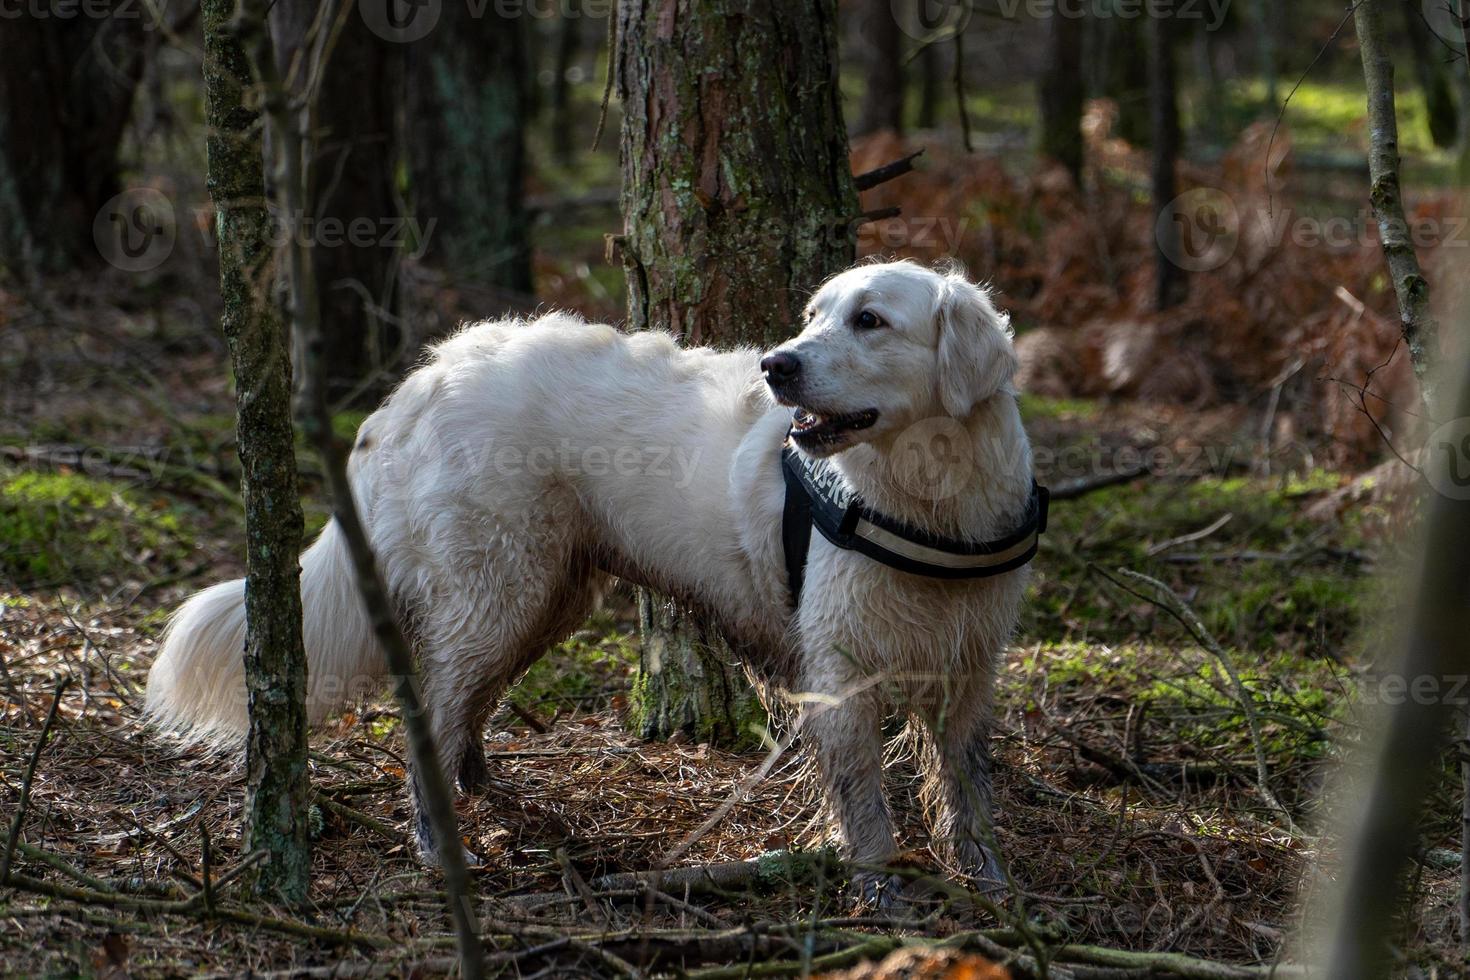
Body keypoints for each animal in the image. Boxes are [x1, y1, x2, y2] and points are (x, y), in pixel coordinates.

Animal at [146, 260, 1046, 905]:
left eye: (870, 319)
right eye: (813, 316)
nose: (775, 365)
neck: (927, 498)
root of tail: (425, 376)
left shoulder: (971, 669)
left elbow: (966, 789)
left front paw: (992, 884)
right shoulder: (840, 674)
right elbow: (866, 805)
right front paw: (882, 892)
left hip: (545, 594)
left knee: (463, 704)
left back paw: (484, 784)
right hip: (500, 586)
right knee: (431, 712)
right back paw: (442, 841)